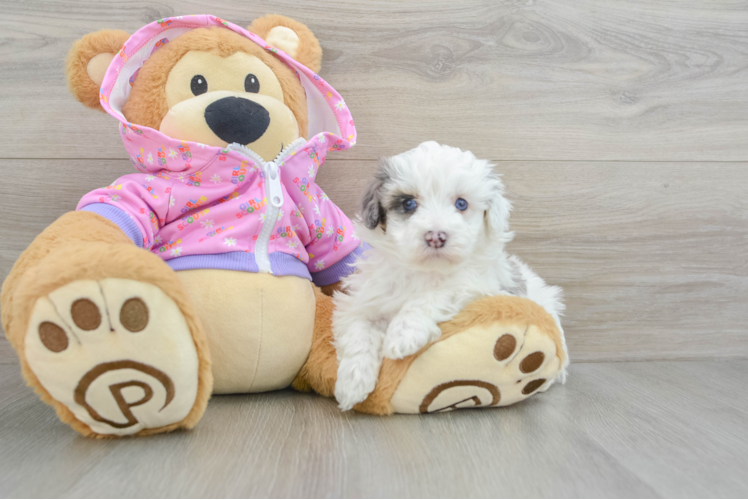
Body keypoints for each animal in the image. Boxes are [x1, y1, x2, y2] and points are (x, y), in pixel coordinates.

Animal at [334, 141, 568, 410]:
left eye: (461, 204)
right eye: (408, 204)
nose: (436, 236)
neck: (426, 271)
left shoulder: (479, 286)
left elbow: (436, 295)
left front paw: (403, 334)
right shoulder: (365, 298)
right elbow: (358, 329)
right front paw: (352, 383)